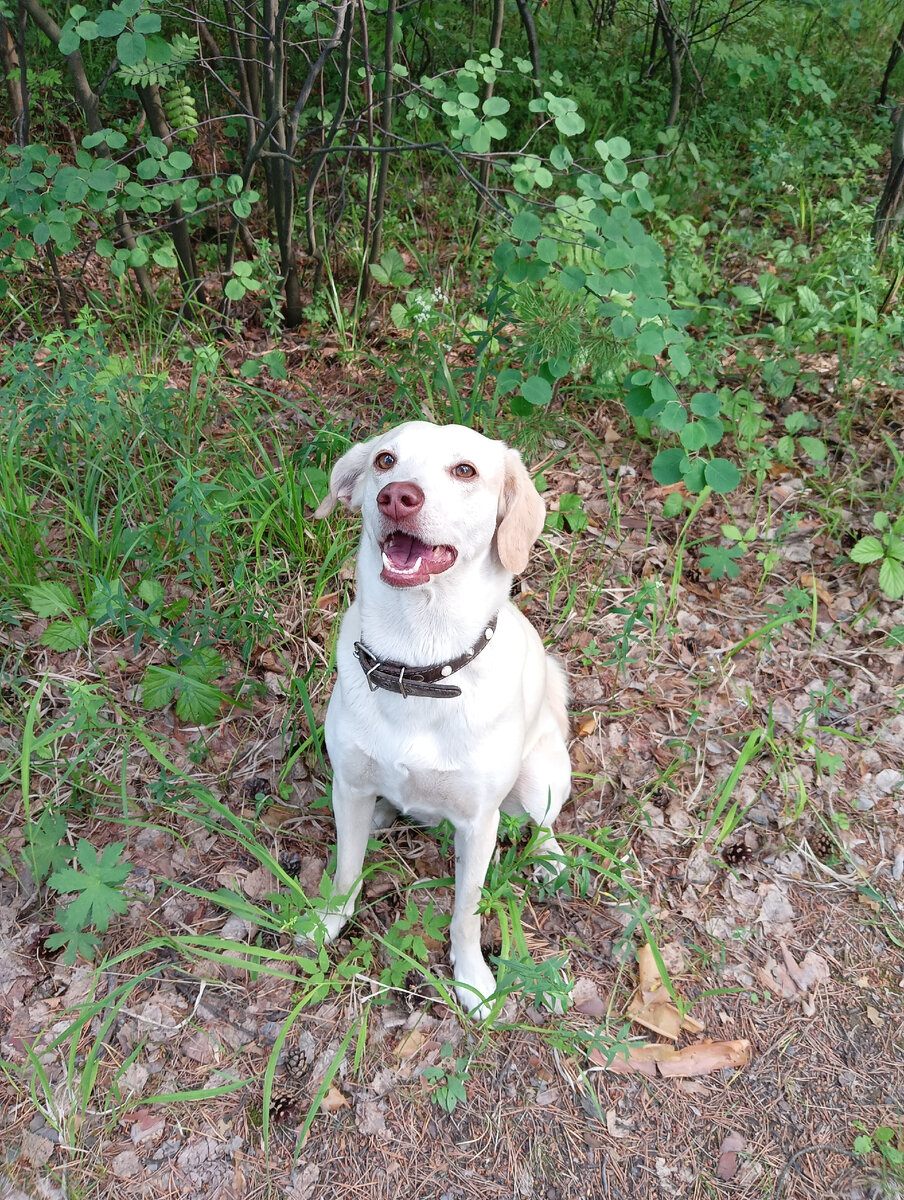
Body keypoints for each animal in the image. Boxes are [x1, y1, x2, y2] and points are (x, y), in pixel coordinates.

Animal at [314, 422, 566, 1012]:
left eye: (465, 470)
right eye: (385, 460)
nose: (396, 496)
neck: (417, 663)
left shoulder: (479, 824)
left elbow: (465, 914)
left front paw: (471, 979)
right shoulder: (349, 787)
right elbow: (346, 871)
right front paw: (328, 922)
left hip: (541, 776)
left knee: (545, 823)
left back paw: (550, 858)